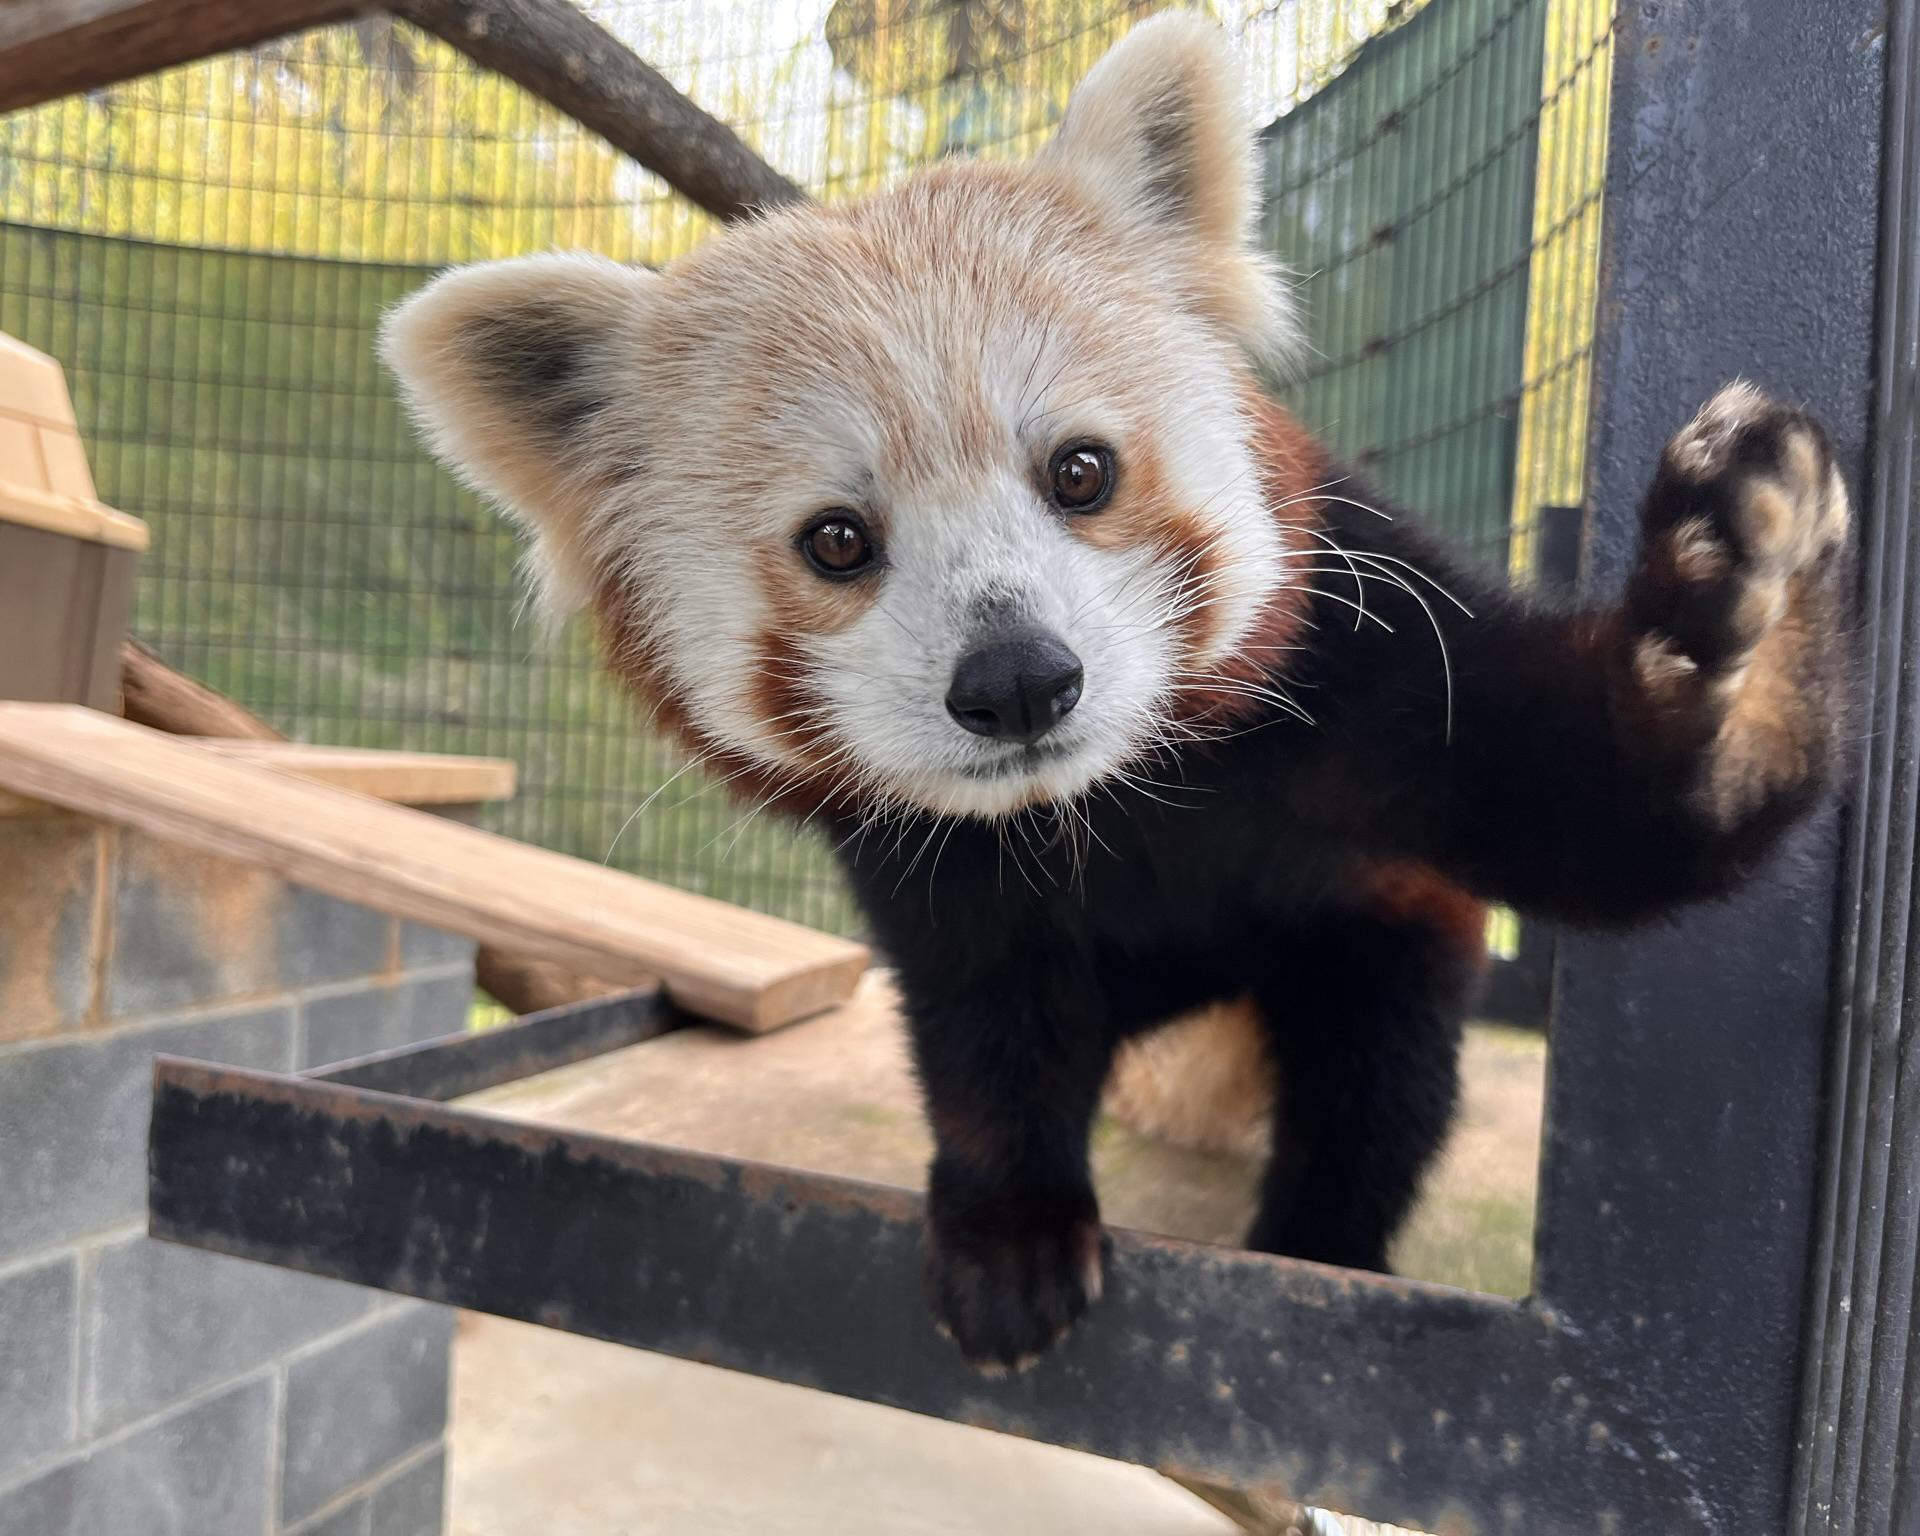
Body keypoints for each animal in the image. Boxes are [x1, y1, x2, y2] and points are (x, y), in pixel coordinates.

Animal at [382, 15, 1850, 1367]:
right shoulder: (932, 871)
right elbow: (984, 1028)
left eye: (1080, 472)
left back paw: (1327, 1238)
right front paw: (1009, 1228)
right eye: (837, 541)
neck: (1118, 801)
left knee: (1385, 1072)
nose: (1019, 680)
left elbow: (1603, 812)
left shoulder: (1368, 674)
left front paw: (1734, 612)